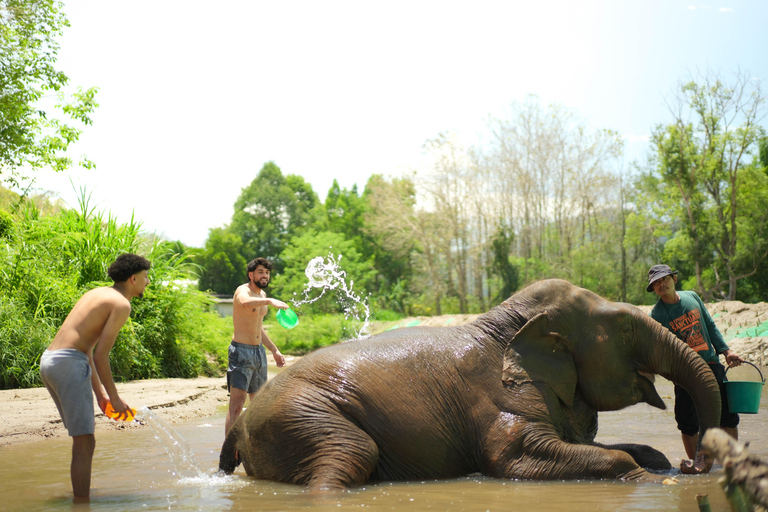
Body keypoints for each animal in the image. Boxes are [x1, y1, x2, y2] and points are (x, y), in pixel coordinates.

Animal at [219, 279, 721, 490]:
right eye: (624, 327)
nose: (693, 465)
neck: (508, 323)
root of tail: (239, 427)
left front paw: (659, 463)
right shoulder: (502, 400)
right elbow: (513, 459)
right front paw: (654, 481)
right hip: (301, 417)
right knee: (351, 455)